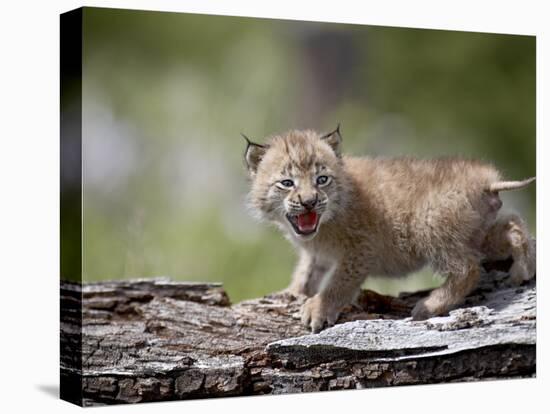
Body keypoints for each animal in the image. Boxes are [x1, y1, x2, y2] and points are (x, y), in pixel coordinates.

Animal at [244, 126, 536, 334]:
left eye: (322, 180)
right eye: (287, 183)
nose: (309, 202)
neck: (326, 222)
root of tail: (487, 180)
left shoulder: (360, 249)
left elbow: (339, 281)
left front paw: (319, 307)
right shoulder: (317, 253)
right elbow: (307, 273)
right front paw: (292, 292)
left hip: (431, 227)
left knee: (468, 268)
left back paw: (428, 306)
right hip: (476, 232)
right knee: (514, 225)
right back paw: (523, 270)